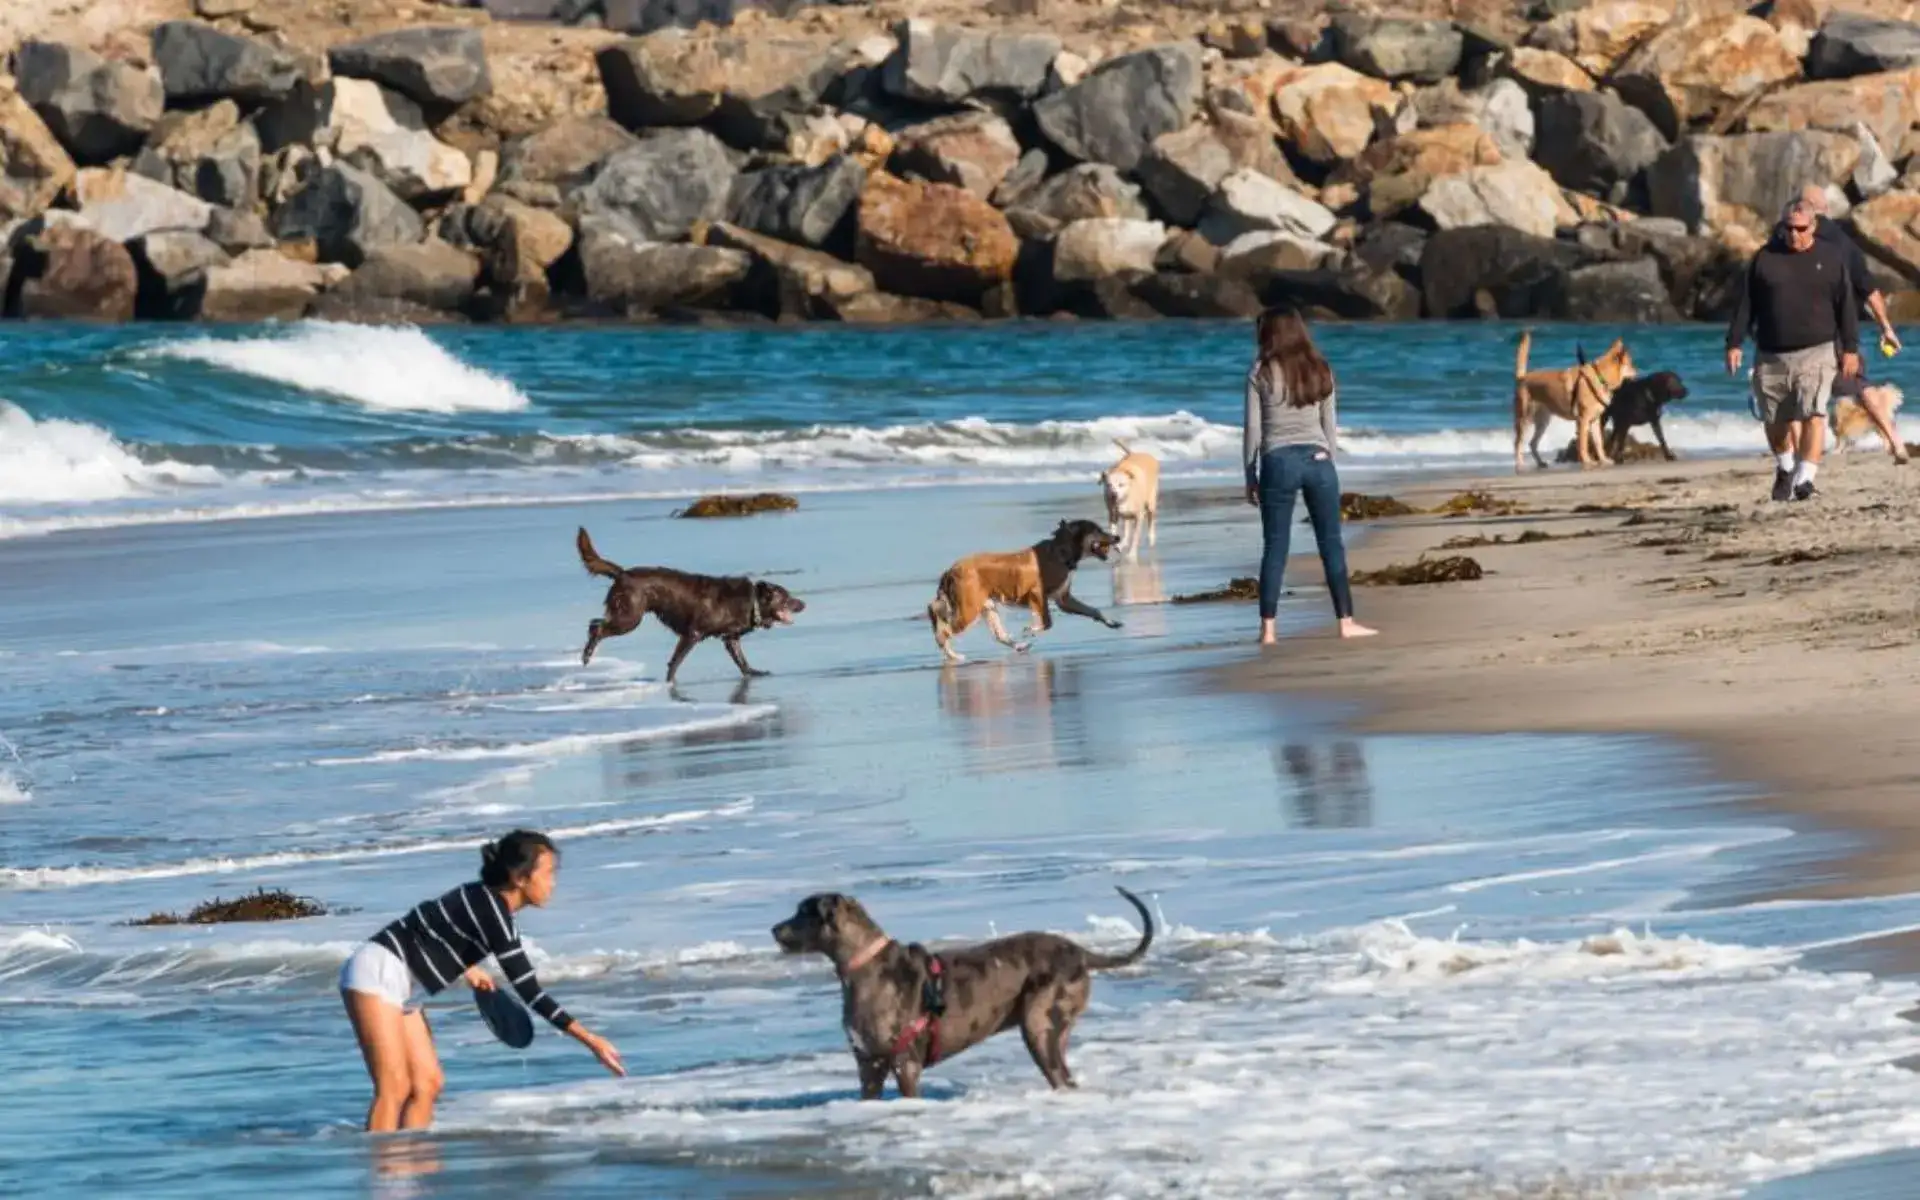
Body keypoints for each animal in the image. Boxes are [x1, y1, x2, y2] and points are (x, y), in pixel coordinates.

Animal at [921, 518, 1121, 664]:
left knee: (999, 634)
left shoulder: (1063, 599)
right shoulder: (1037, 594)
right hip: (970, 608)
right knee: (942, 630)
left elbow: (1093, 610)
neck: (1059, 552)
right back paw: (954, 656)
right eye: (1096, 530)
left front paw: (1112, 622)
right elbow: (1047, 621)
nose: (1118, 537)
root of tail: (951, 570)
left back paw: (1020, 647)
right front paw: (1031, 629)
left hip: (986, 605)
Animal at [1512, 332, 1635, 478]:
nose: (1637, 371)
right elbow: (1582, 445)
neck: (1600, 376)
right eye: (1631, 364)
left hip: (1543, 423)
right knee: (1518, 443)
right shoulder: (1583, 421)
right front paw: (1587, 461)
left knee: (1532, 443)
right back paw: (1520, 465)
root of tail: (1522, 377)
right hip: (1525, 419)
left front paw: (1603, 460)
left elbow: (1599, 443)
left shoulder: (1594, 422)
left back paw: (1540, 463)